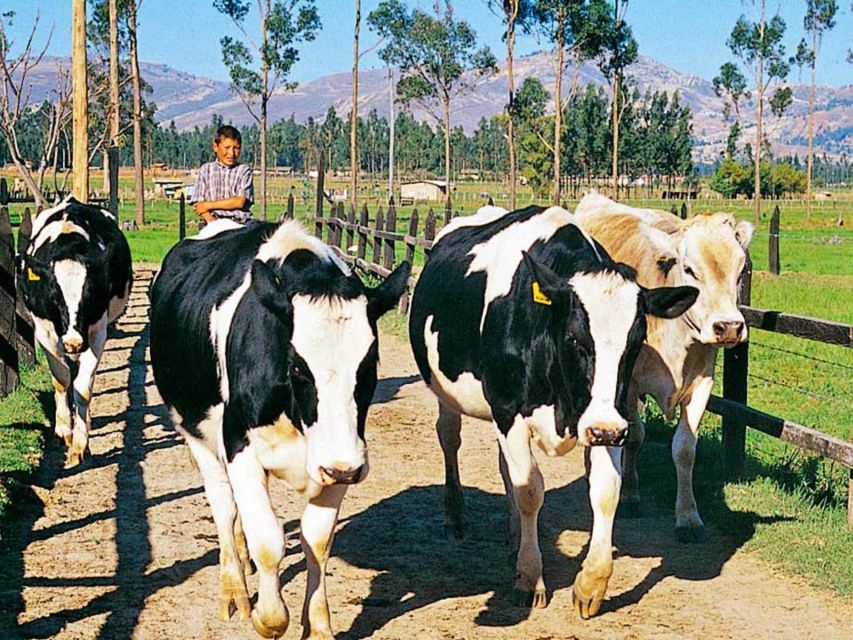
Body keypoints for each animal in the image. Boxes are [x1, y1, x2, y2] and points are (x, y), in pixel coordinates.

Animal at [17, 196, 131, 464]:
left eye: (90, 297)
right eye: (53, 297)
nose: (72, 342)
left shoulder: (97, 331)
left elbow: (83, 388)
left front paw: (80, 444)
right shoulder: (44, 332)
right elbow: (61, 380)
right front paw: (63, 432)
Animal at [148, 220, 408, 640]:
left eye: (369, 365)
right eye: (298, 367)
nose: (344, 468)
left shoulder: (339, 457)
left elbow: (316, 540)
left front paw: (318, 626)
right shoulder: (239, 446)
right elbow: (269, 541)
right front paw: (269, 617)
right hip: (195, 433)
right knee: (224, 507)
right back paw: (234, 590)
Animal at [412, 205, 700, 616]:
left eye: (635, 342)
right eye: (575, 339)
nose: (607, 431)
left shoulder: (605, 414)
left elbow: (605, 489)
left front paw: (591, 583)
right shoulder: (510, 409)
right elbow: (531, 490)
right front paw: (530, 578)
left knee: (506, 469)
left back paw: (514, 536)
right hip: (447, 390)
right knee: (450, 439)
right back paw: (455, 516)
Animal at [572, 194, 752, 540]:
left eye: (741, 270)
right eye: (690, 269)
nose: (729, 327)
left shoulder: (702, 384)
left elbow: (685, 449)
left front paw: (688, 516)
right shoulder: (627, 385)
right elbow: (634, 435)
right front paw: (630, 494)